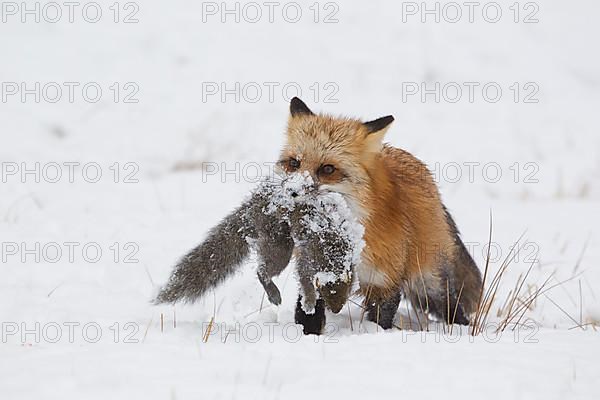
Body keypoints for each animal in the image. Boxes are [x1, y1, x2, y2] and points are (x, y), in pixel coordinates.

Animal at [278, 97, 482, 328]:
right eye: (294, 163)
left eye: (328, 169)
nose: (292, 191)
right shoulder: (316, 273)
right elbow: (307, 315)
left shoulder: (384, 281)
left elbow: (380, 320)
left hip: (429, 282)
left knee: (451, 305)